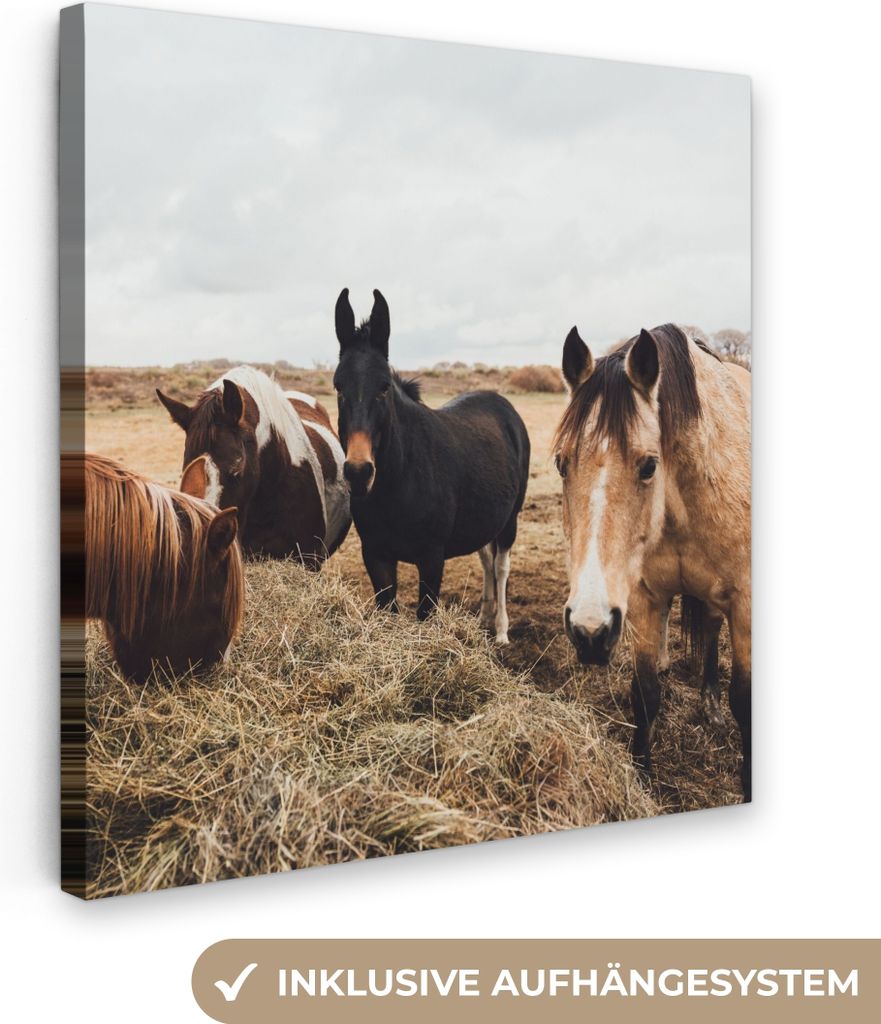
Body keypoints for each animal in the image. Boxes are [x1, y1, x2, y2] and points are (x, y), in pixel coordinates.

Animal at [333, 288, 530, 642]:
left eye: (384, 387)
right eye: (338, 386)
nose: (358, 472)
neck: (400, 480)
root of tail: (504, 405)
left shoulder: (432, 558)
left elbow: (425, 614)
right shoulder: (376, 555)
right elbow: (389, 608)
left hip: (511, 520)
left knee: (501, 566)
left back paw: (501, 631)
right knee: (486, 560)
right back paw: (483, 618)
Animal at [553, 324, 751, 798]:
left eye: (648, 466)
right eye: (561, 463)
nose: (588, 631)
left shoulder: (745, 603)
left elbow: (745, 701)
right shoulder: (642, 598)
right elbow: (644, 693)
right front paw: (642, 779)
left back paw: (710, 705)